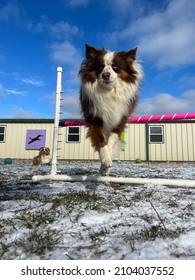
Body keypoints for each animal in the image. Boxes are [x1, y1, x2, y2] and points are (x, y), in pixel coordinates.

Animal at [78, 44, 142, 175]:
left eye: (115, 67)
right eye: (100, 67)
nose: (105, 75)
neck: (109, 91)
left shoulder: (120, 118)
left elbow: (111, 141)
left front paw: (106, 165)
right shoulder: (94, 117)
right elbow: (101, 142)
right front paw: (105, 160)